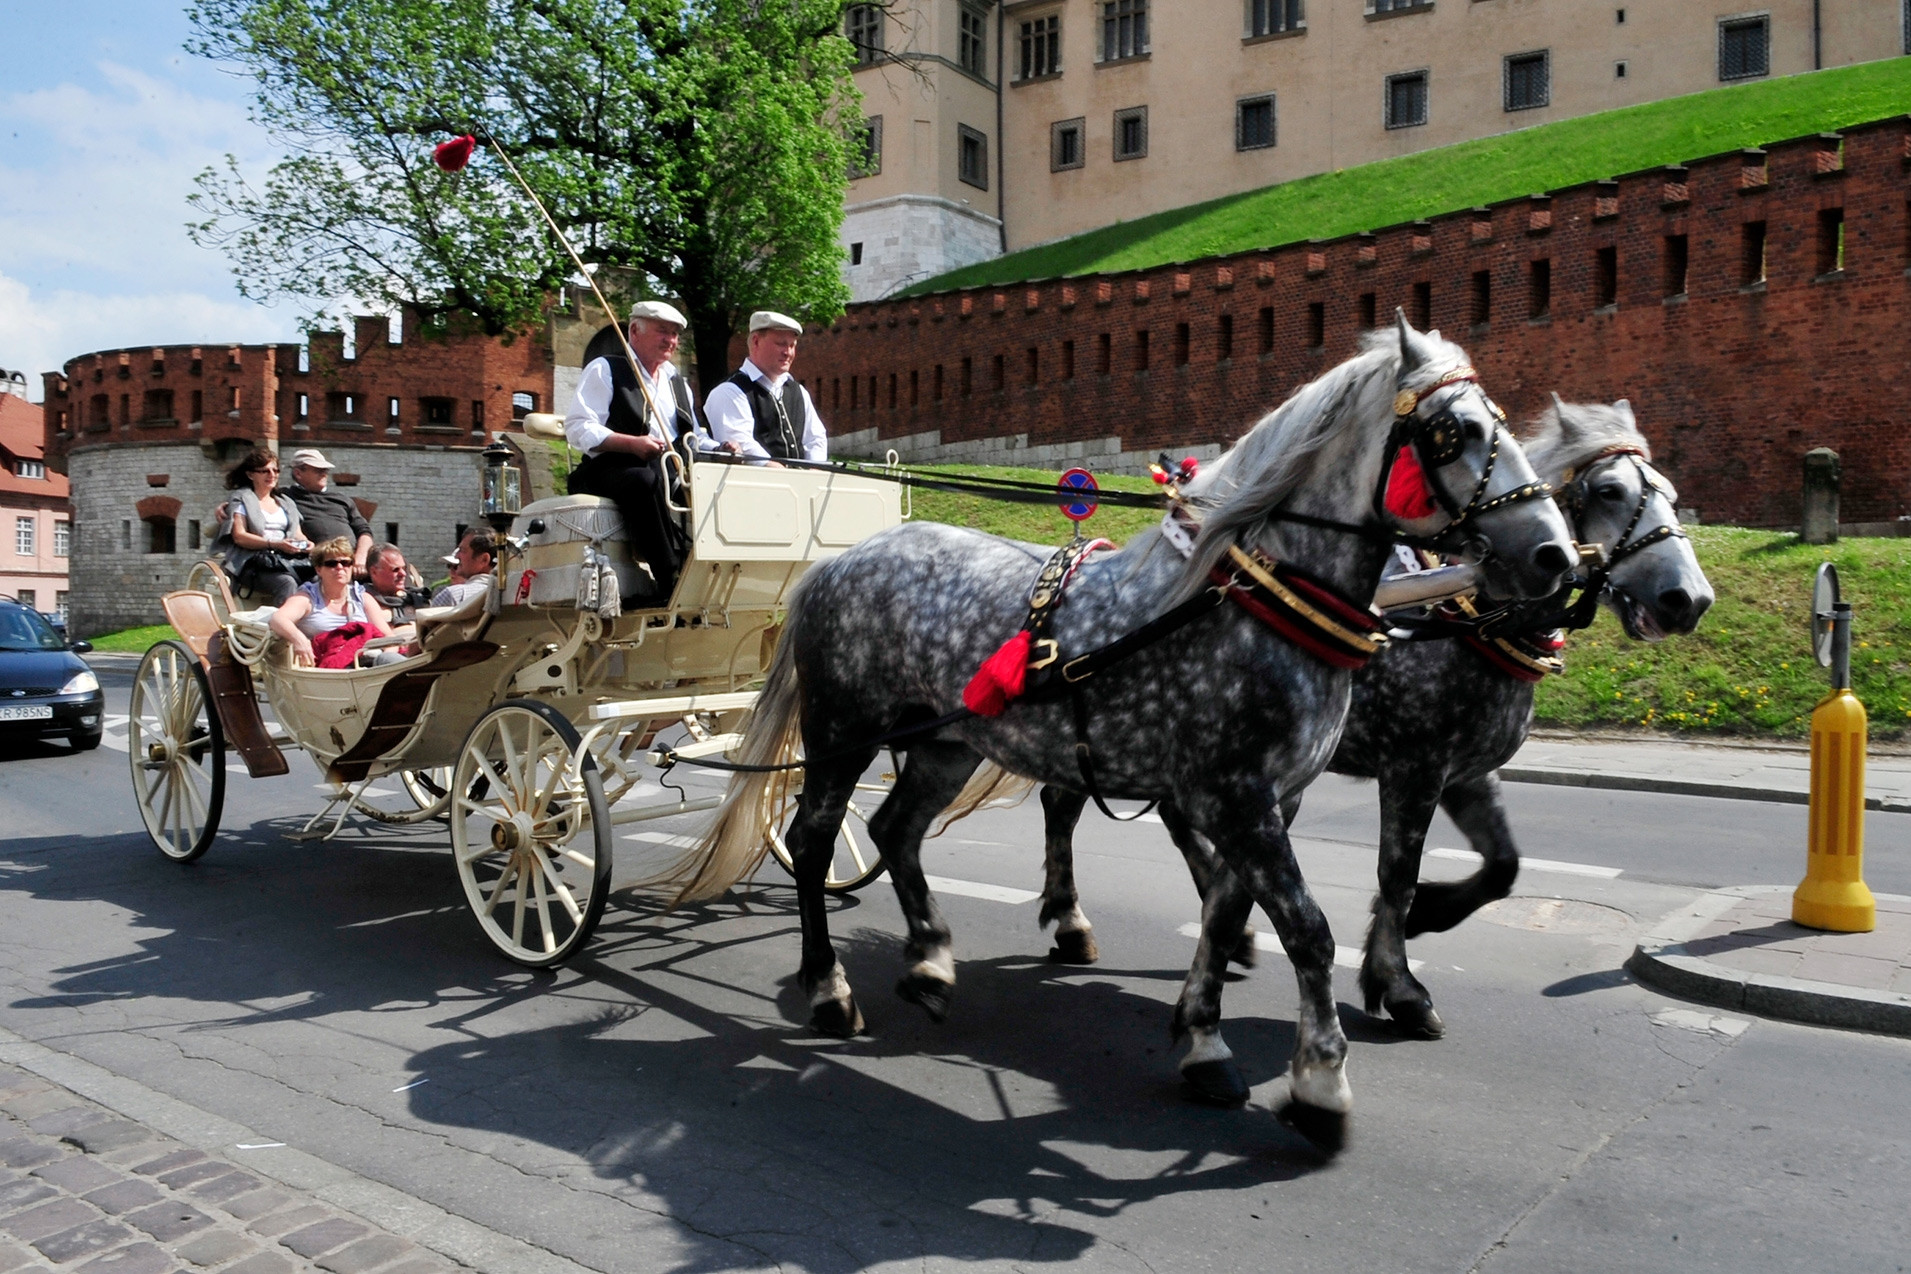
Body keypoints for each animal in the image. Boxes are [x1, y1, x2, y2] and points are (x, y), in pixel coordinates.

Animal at [665, 317, 1574, 1123]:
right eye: (1455, 432)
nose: (1554, 557)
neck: (1251, 599)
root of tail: (837, 562)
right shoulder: (1239, 797)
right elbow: (1307, 929)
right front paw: (1319, 1079)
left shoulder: (1269, 799)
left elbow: (1229, 912)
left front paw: (1204, 1040)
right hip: (842, 735)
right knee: (817, 841)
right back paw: (828, 987)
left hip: (946, 742)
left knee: (894, 829)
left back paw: (929, 960)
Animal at [1031, 401, 1719, 1100]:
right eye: (1609, 492)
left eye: (1671, 494)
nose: (1687, 599)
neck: (1461, 617)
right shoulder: (1413, 768)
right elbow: (1398, 875)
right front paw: (1399, 982)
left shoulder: (1465, 773)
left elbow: (1502, 866)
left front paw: (1429, 918)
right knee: (1064, 803)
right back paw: (1071, 920)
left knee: (1167, 820)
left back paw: (1228, 933)